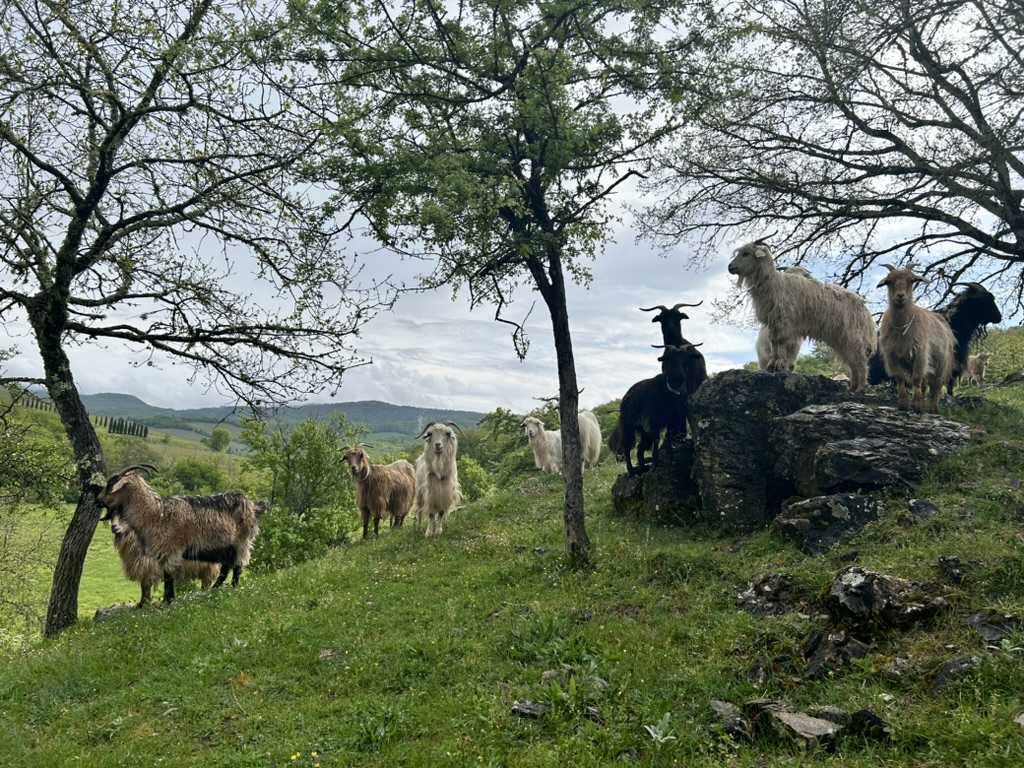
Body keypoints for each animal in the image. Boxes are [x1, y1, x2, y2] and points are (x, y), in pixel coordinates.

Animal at [91, 466, 264, 606]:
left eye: (111, 486)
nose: (98, 500)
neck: (155, 514)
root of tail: (251, 504)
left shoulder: (171, 550)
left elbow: (168, 577)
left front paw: (167, 601)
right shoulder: (162, 553)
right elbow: (166, 576)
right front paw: (166, 600)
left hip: (241, 542)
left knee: (238, 566)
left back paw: (233, 588)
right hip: (224, 548)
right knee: (226, 568)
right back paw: (214, 591)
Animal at [606, 342, 704, 475]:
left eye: (685, 359)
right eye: (669, 359)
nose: (677, 378)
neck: (670, 394)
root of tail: (627, 396)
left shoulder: (673, 419)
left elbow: (669, 437)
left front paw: (669, 458)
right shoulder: (654, 420)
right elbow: (657, 440)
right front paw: (654, 465)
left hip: (643, 430)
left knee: (640, 448)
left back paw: (642, 468)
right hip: (628, 425)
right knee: (628, 446)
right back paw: (632, 471)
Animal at [724, 241, 876, 391]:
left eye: (746, 253)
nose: (730, 267)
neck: (774, 283)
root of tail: (866, 312)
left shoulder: (785, 322)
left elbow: (780, 342)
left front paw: (778, 364)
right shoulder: (775, 323)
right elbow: (774, 342)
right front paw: (773, 365)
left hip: (853, 336)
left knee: (860, 362)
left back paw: (860, 387)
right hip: (842, 339)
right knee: (852, 362)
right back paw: (853, 388)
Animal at [876, 266, 954, 415]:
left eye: (912, 280)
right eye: (889, 281)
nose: (900, 296)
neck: (902, 328)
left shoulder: (920, 354)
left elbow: (916, 379)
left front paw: (917, 406)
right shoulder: (892, 356)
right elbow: (900, 378)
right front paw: (903, 404)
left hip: (942, 364)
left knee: (936, 386)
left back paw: (933, 409)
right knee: (925, 385)